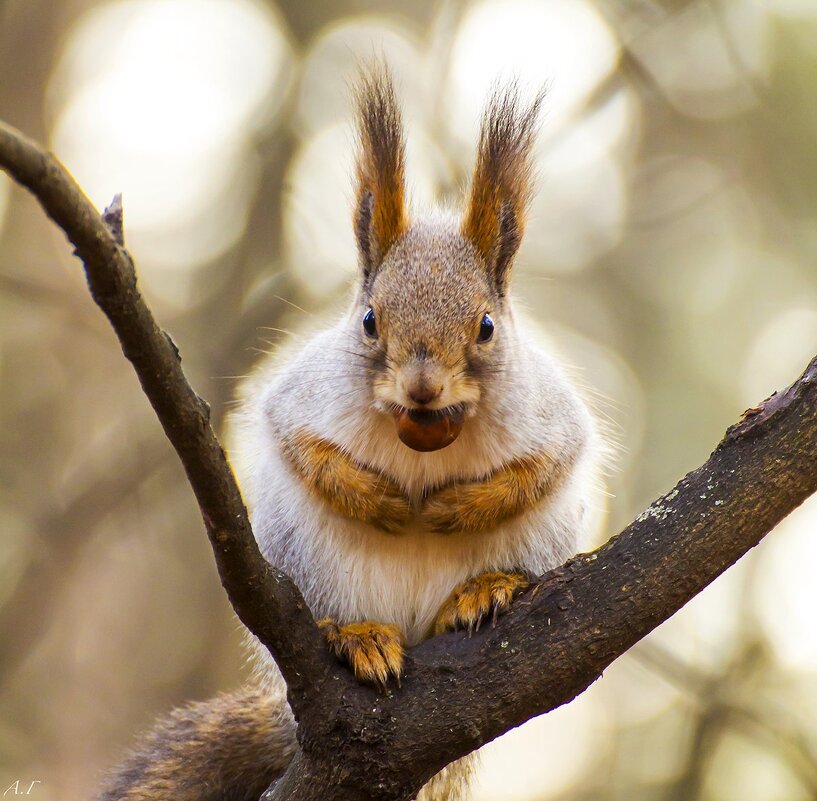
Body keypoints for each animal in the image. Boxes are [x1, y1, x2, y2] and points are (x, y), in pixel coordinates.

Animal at [99, 67, 604, 800]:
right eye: (369, 320)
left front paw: (458, 507)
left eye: (485, 326)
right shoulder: (301, 397)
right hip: (307, 560)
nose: (422, 387)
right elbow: (297, 443)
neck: (425, 433)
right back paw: (356, 634)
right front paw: (377, 500)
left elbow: (545, 465)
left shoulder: (549, 415)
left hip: (541, 539)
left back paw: (484, 590)